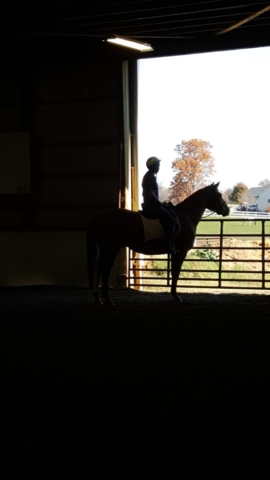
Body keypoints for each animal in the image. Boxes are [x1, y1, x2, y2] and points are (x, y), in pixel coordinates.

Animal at [87, 182, 230, 306]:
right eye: (219, 195)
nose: (227, 210)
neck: (186, 216)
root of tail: (98, 218)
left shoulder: (175, 253)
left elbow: (173, 273)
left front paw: (174, 295)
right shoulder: (181, 252)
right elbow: (176, 273)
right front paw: (176, 297)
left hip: (108, 249)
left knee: (100, 268)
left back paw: (100, 298)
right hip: (111, 248)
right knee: (104, 269)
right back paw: (106, 299)